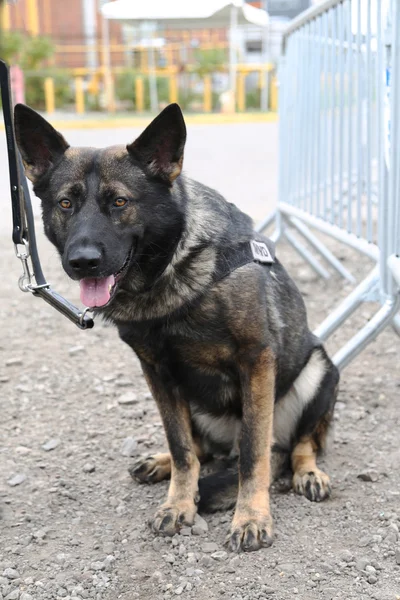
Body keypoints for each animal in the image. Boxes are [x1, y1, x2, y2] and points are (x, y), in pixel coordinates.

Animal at [14, 103, 338, 552]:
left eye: (119, 201)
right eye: (65, 203)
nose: (82, 262)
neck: (170, 272)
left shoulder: (256, 361)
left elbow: (255, 453)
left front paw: (251, 517)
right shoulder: (157, 373)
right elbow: (182, 447)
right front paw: (179, 504)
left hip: (320, 369)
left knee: (296, 445)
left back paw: (308, 473)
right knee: (202, 448)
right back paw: (160, 462)